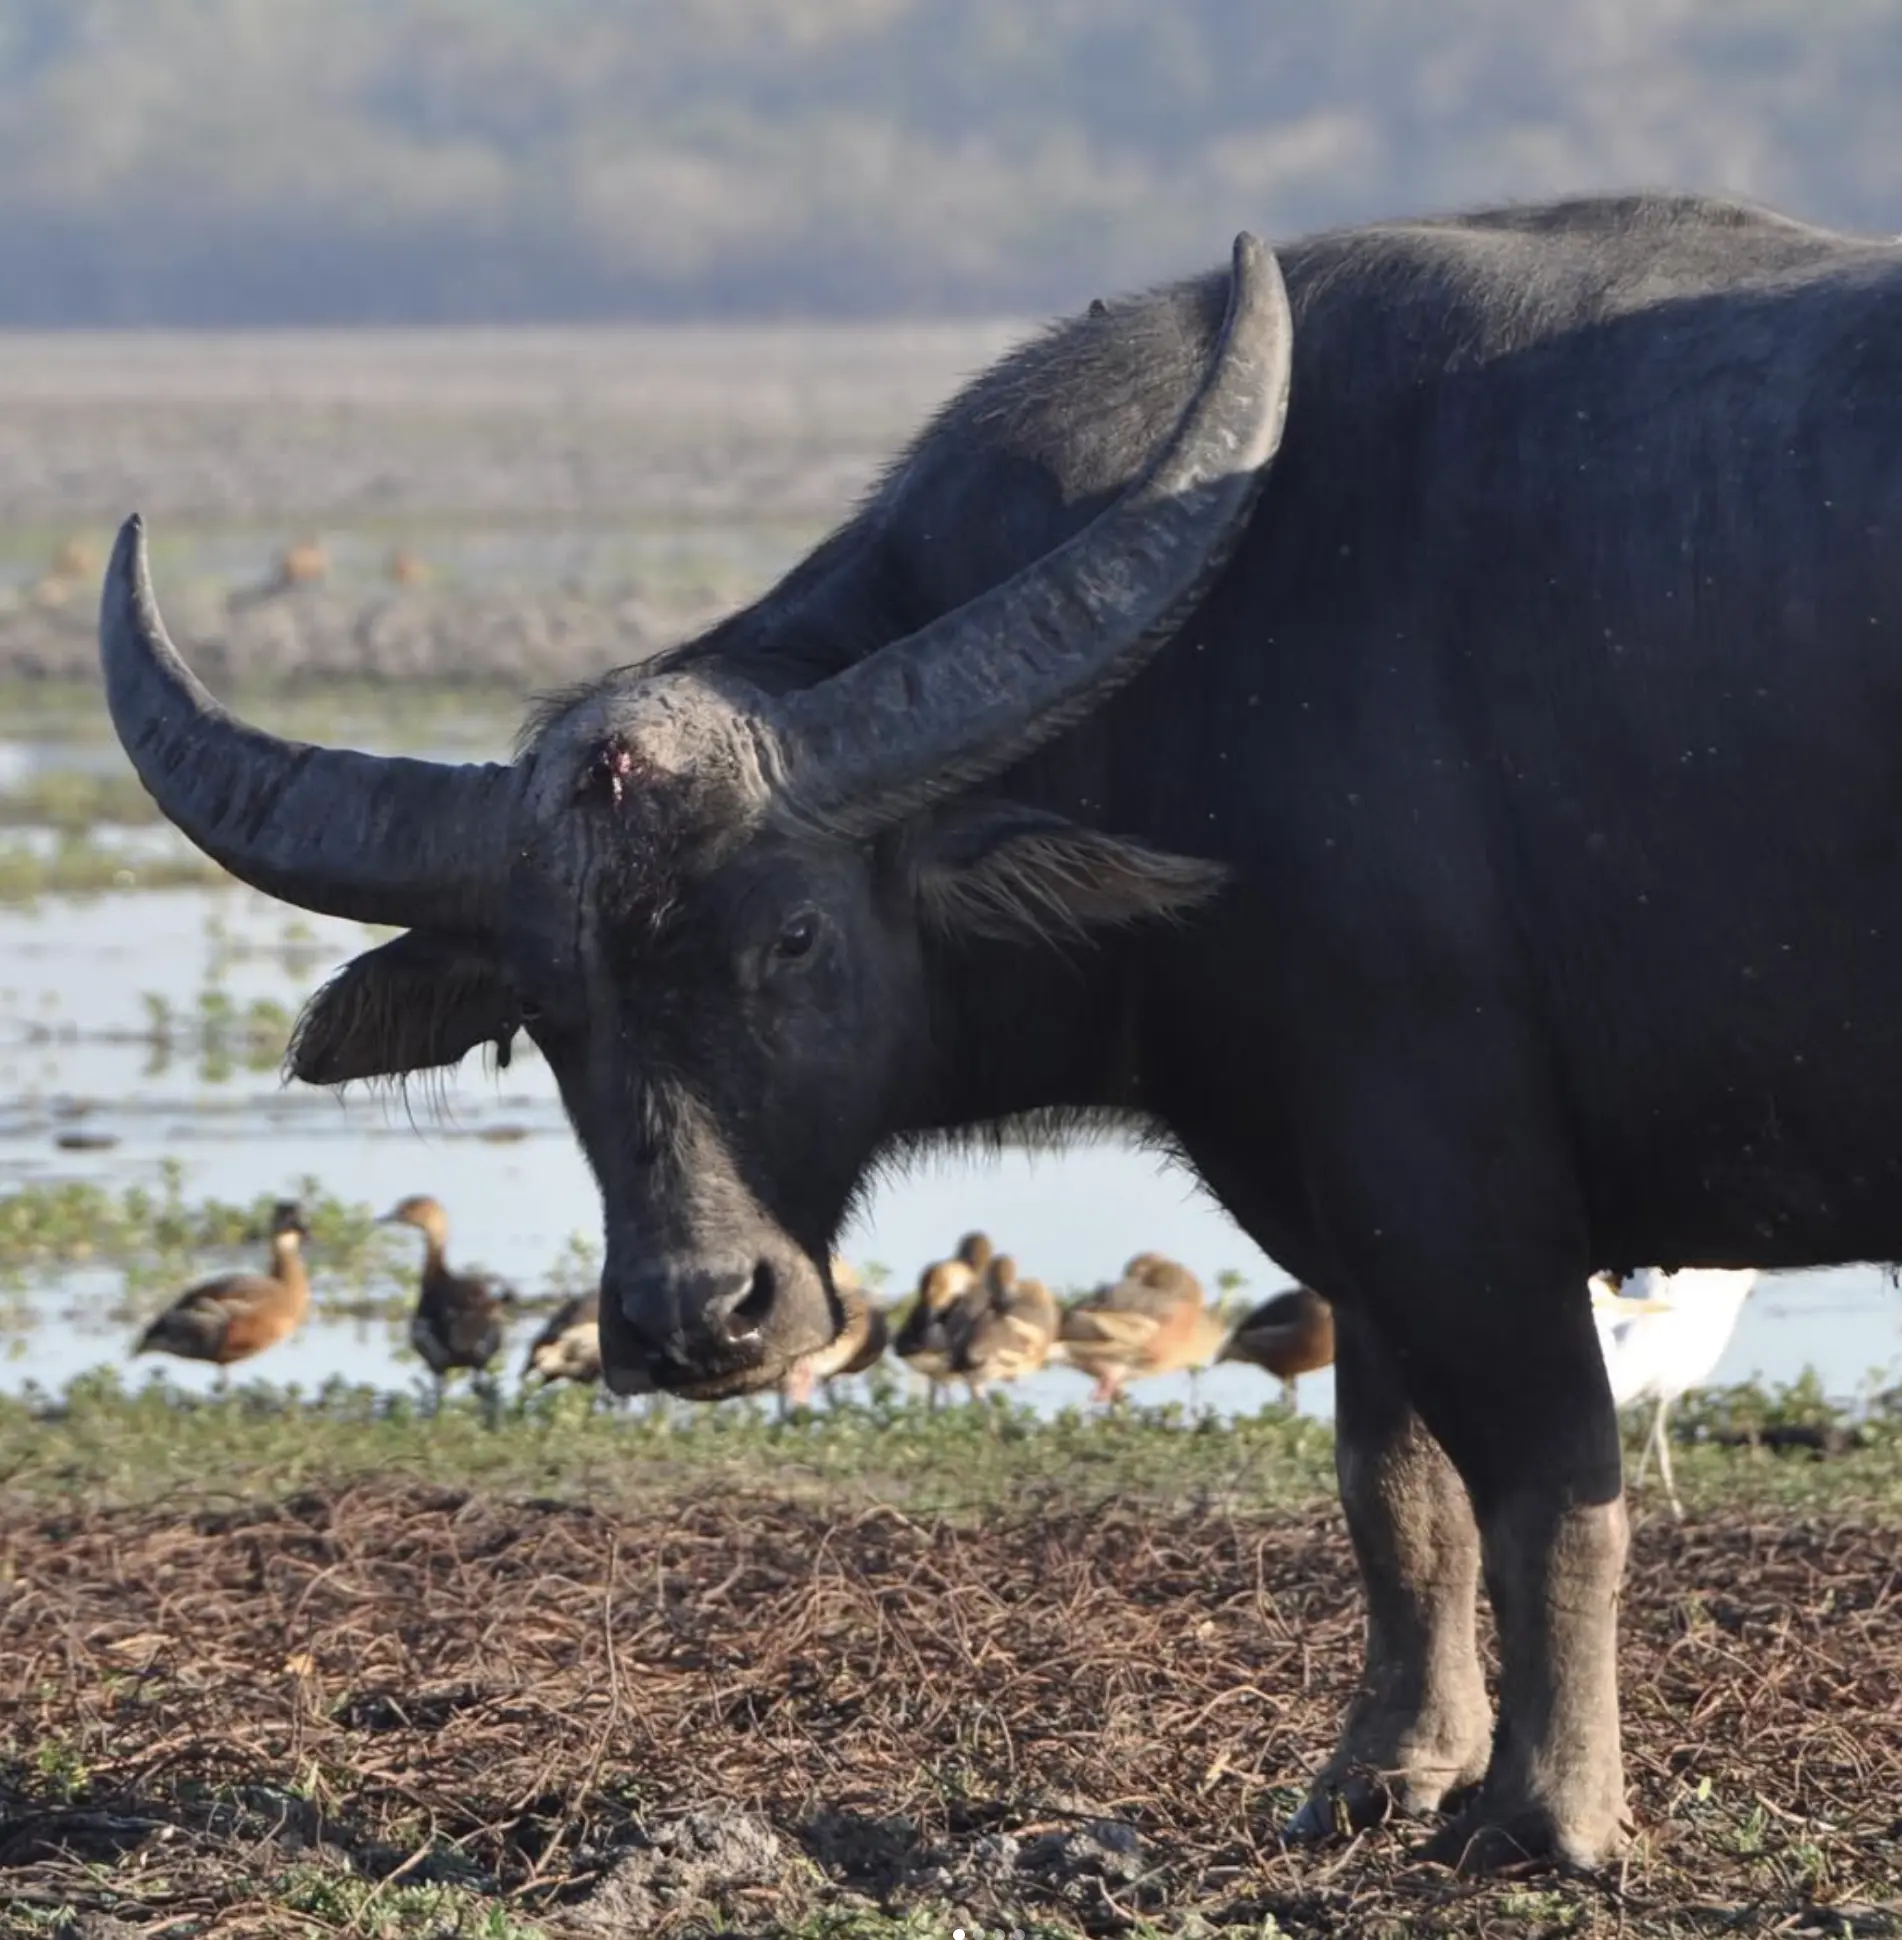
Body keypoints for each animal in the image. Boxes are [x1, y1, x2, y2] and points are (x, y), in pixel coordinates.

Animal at [96, 193, 1902, 1862]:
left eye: (797, 933)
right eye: (546, 1001)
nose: (697, 1317)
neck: (1209, 681)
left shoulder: (1460, 1181)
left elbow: (1551, 1492)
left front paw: (1545, 1817)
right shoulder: (1364, 1197)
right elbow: (1398, 1497)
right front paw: (1382, 1777)